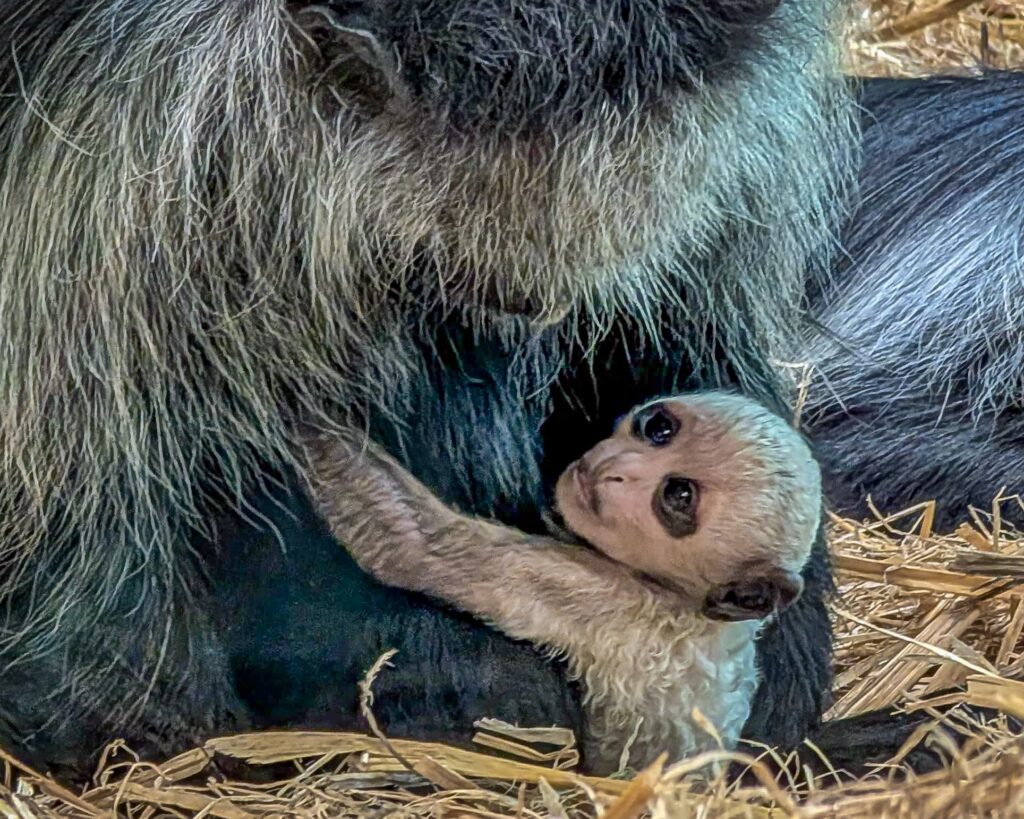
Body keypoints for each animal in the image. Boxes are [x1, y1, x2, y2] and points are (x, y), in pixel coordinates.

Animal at [302, 391, 821, 773]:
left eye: (677, 495)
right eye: (658, 429)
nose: (616, 470)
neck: (682, 599)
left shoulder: (600, 596)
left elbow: (415, 543)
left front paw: (304, 422)